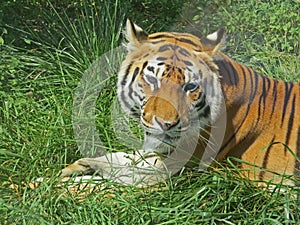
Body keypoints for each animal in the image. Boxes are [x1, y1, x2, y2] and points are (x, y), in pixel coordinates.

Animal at [59, 18, 298, 186]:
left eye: (190, 87)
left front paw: (61, 188)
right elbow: (117, 157)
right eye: (152, 79)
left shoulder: (165, 168)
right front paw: (73, 168)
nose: (166, 124)